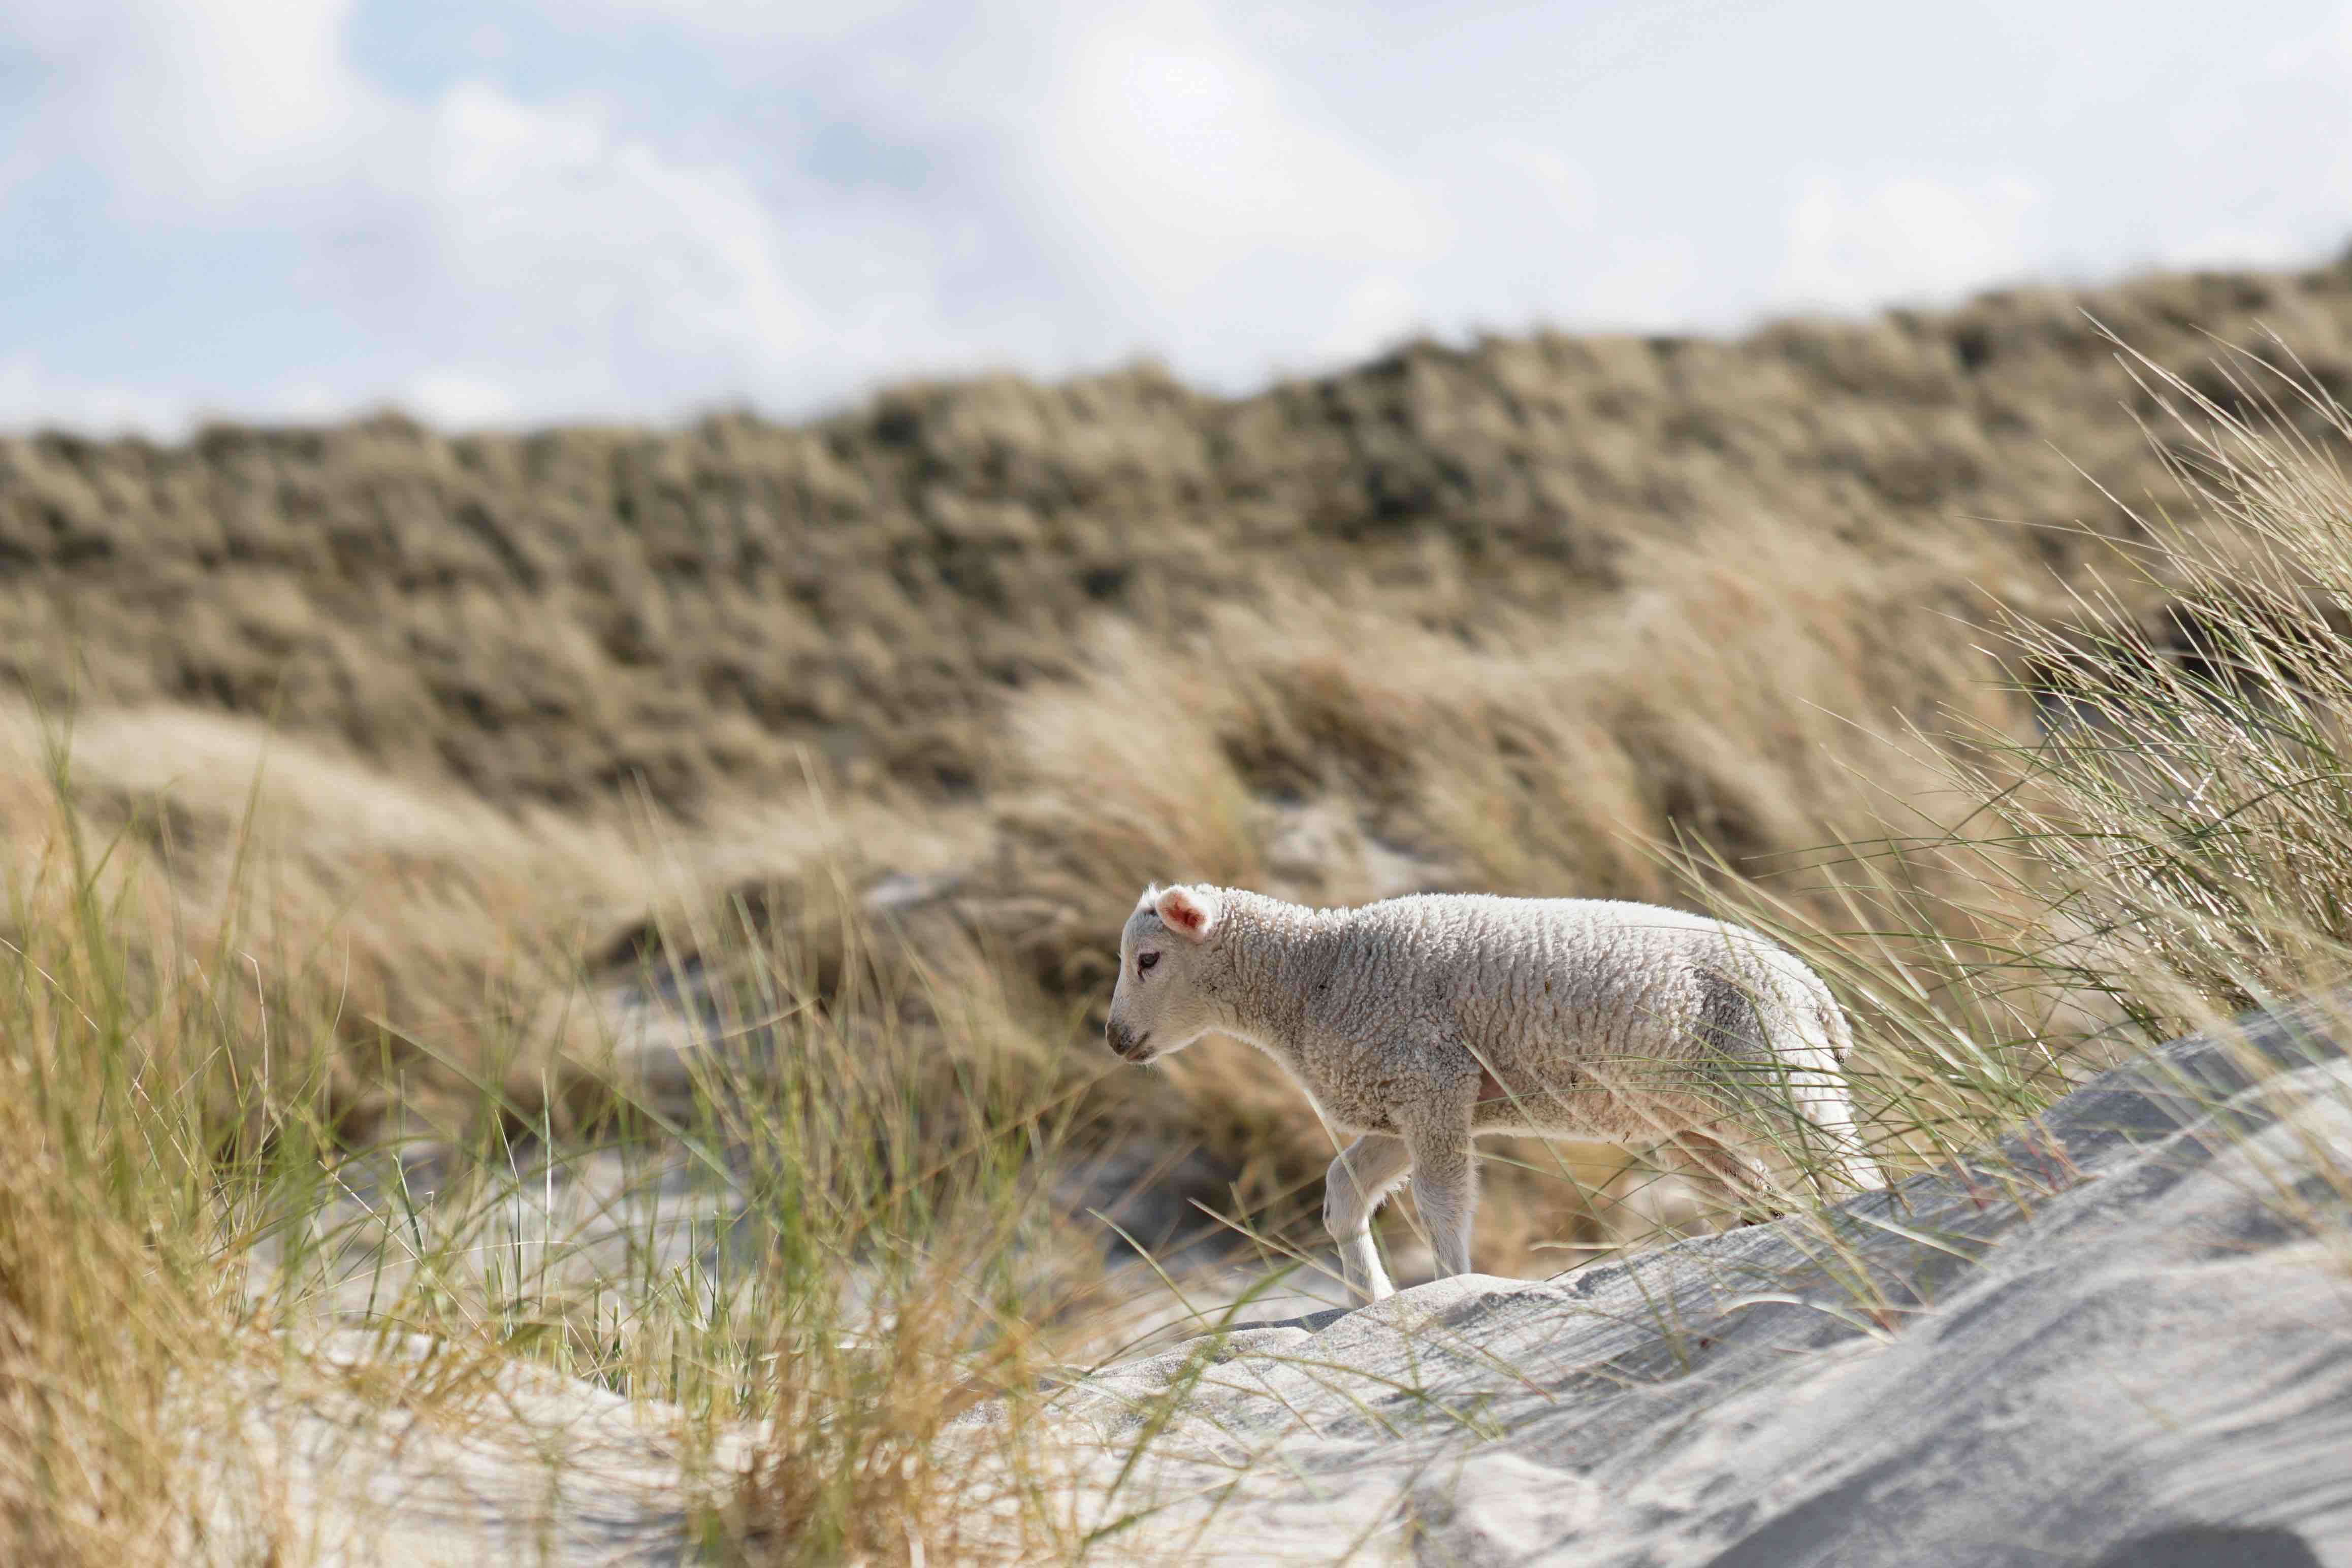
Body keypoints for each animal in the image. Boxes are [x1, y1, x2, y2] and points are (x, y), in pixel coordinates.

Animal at [1096, 884, 1872, 1297]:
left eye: (1147, 960)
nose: (1114, 1039)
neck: (1312, 974)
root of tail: (1812, 986)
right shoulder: (1394, 1104)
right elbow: (1343, 1192)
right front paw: (1370, 1296)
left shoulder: (1431, 1081)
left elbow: (1440, 1203)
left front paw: (1452, 1285)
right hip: (1689, 1115)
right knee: (1753, 1186)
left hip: (1773, 1063)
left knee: (1839, 1161)